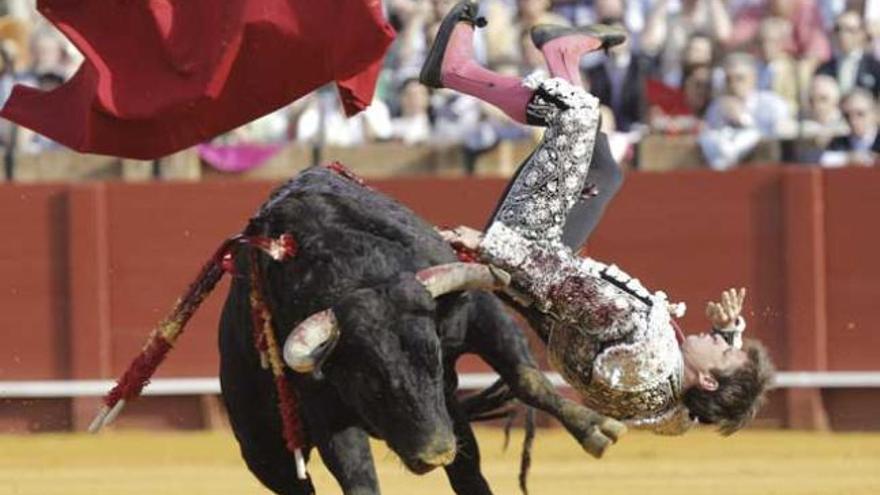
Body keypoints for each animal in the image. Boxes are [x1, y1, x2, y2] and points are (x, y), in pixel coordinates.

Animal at [219, 165, 620, 494]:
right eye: (369, 382)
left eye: (436, 361)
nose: (435, 454)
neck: (361, 275)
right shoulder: (323, 402)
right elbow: (358, 478)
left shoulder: (479, 314)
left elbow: (527, 378)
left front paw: (596, 428)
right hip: (265, 453)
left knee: (469, 471)